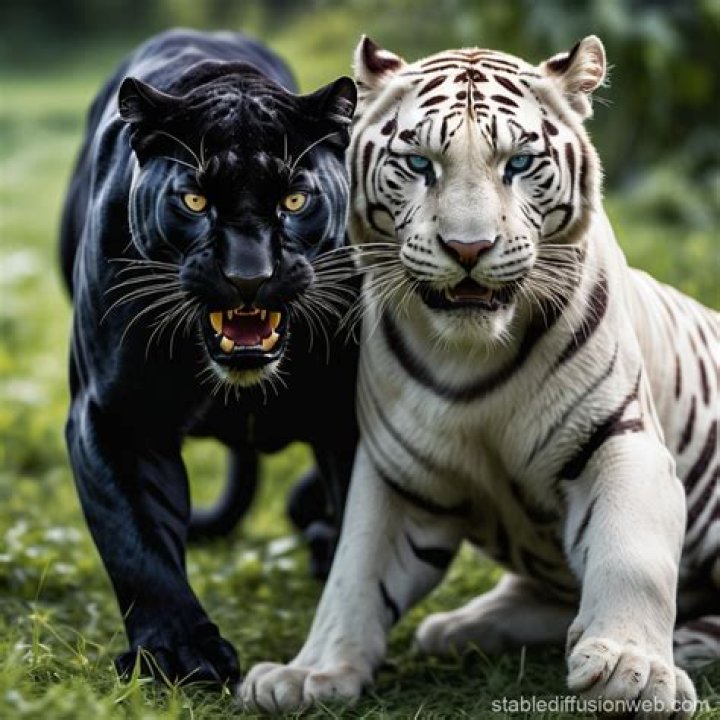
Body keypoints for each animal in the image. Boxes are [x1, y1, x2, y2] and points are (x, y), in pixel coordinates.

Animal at [241, 35, 719, 716]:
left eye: (518, 163)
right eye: (419, 163)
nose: (469, 247)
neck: (473, 358)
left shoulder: (619, 437)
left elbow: (632, 556)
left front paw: (635, 671)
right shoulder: (396, 477)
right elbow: (353, 573)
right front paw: (309, 673)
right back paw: (460, 626)